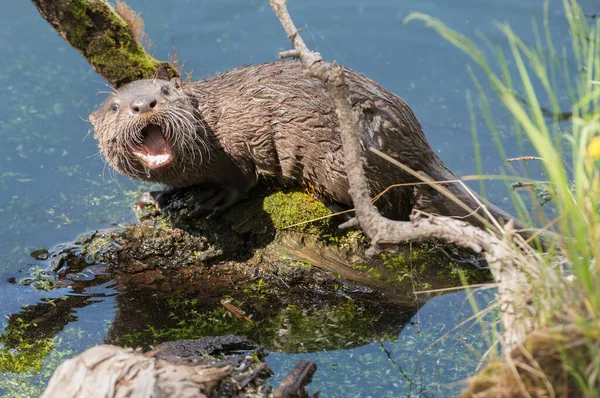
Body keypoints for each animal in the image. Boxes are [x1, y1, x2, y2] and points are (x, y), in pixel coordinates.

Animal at [88, 61, 520, 235]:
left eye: (163, 91)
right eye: (115, 107)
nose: (144, 104)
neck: (208, 126)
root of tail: (420, 147)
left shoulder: (234, 150)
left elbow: (239, 181)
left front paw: (204, 201)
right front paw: (157, 198)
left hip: (354, 155)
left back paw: (350, 218)